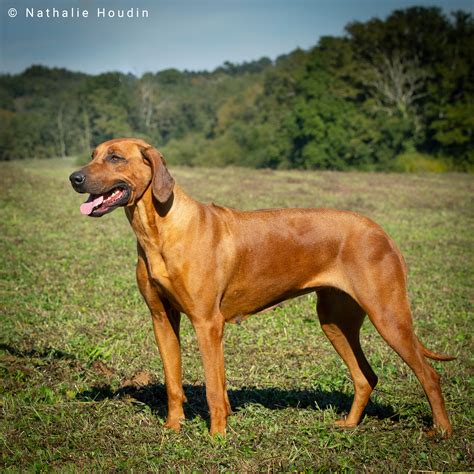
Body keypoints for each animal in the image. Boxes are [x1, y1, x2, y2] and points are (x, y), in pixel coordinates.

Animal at [70, 137, 456, 436]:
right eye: (93, 153)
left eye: (115, 157)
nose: (74, 177)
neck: (159, 230)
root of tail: (381, 231)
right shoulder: (162, 319)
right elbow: (174, 382)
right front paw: (174, 428)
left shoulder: (207, 323)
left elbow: (213, 389)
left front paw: (217, 437)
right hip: (335, 321)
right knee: (365, 377)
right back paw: (349, 424)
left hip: (388, 316)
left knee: (430, 375)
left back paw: (441, 431)